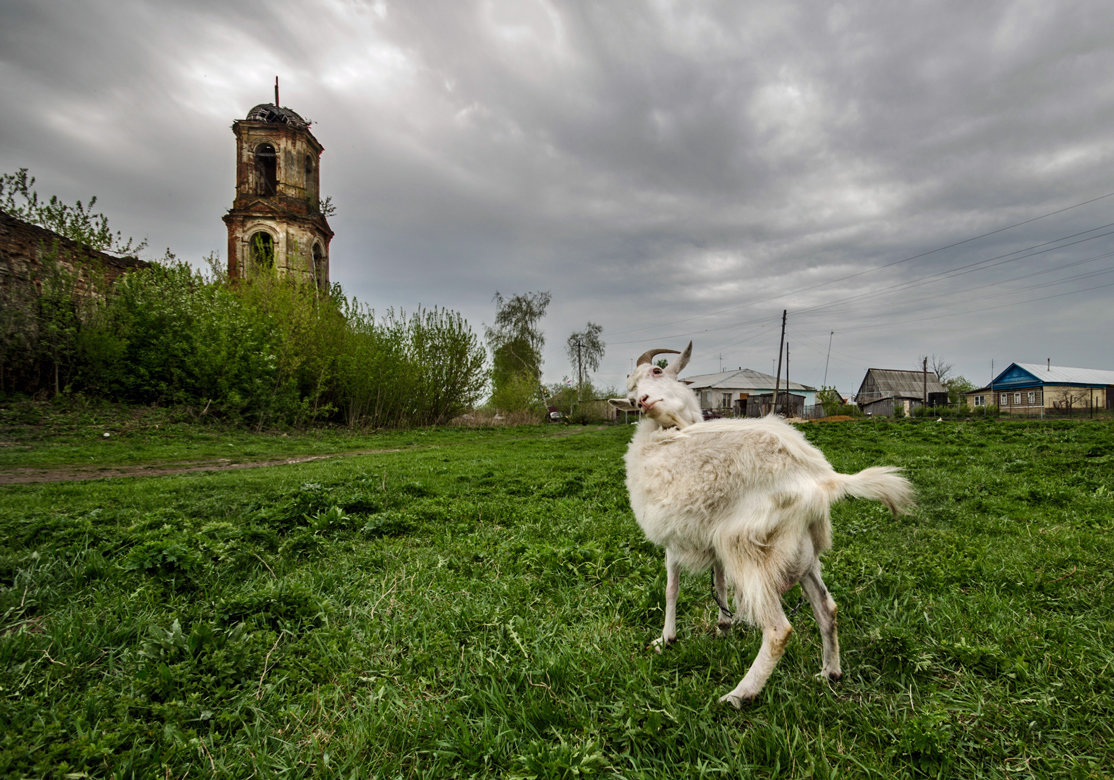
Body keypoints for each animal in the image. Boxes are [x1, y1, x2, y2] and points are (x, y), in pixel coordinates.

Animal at [610, 340, 913, 708]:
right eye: (630, 396)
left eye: (657, 371)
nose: (641, 402)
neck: (667, 432)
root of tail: (820, 478)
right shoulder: (710, 542)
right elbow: (719, 583)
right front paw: (722, 626)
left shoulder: (675, 538)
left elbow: (671, 588)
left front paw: (666, 638)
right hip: (801, 554)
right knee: (827, 609)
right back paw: (830, 672)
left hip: (747, 547)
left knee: (779, 629)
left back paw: (740, 694)